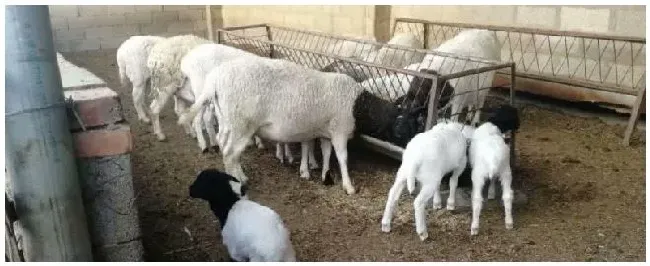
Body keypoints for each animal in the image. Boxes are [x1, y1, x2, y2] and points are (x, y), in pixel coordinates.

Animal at [464, 103, 520, 235]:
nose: (518, 125)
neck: (495, 123)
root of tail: (493, 158)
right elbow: (493, 179)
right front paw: (491, 192)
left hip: (478, 175)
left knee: (477, 199)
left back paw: (474, 227)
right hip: (506, 172)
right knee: (507, 196)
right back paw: (509, 222)